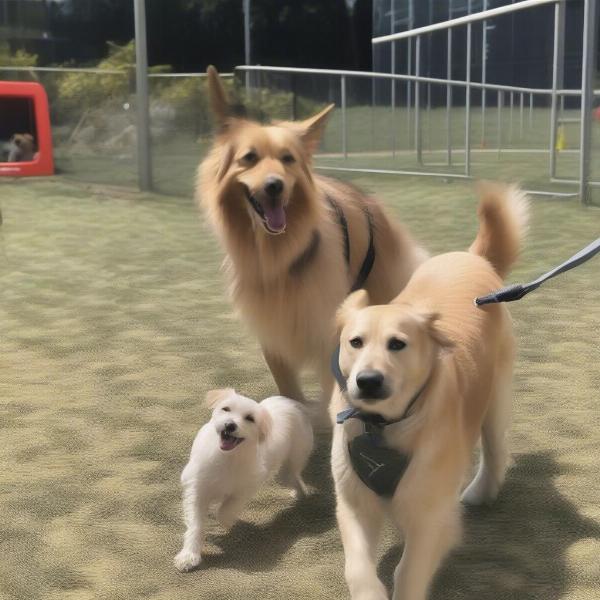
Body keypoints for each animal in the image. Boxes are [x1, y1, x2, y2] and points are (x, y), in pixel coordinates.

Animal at [173, 390, 314, 572]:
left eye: (250, 418)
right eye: (226, 409)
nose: (229, 425)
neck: (228, 456)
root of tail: (290, 402)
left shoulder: (246, 487)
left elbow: (228, 507)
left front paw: (226, 521)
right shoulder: (197, 490)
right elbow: (195, 524)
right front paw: (189, 556)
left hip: (290, 465)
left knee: (294, 476)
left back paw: (300, 494)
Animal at [198, 65, 426, 412]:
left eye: (288, 159)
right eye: (249, 158)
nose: (275, 186)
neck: (279, 256)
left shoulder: (326, 331)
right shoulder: (272, 332)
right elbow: (289, 389)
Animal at [330, 183, 528, 600]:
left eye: (398, 344)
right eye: (355, 342)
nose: (368, 380)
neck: (383, 427)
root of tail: (471, 258)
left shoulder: (430, 514)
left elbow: (408, 572)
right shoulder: (354, 502)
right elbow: (357, 567)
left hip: (495, 398)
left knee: (495, 449)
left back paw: (481, 491)